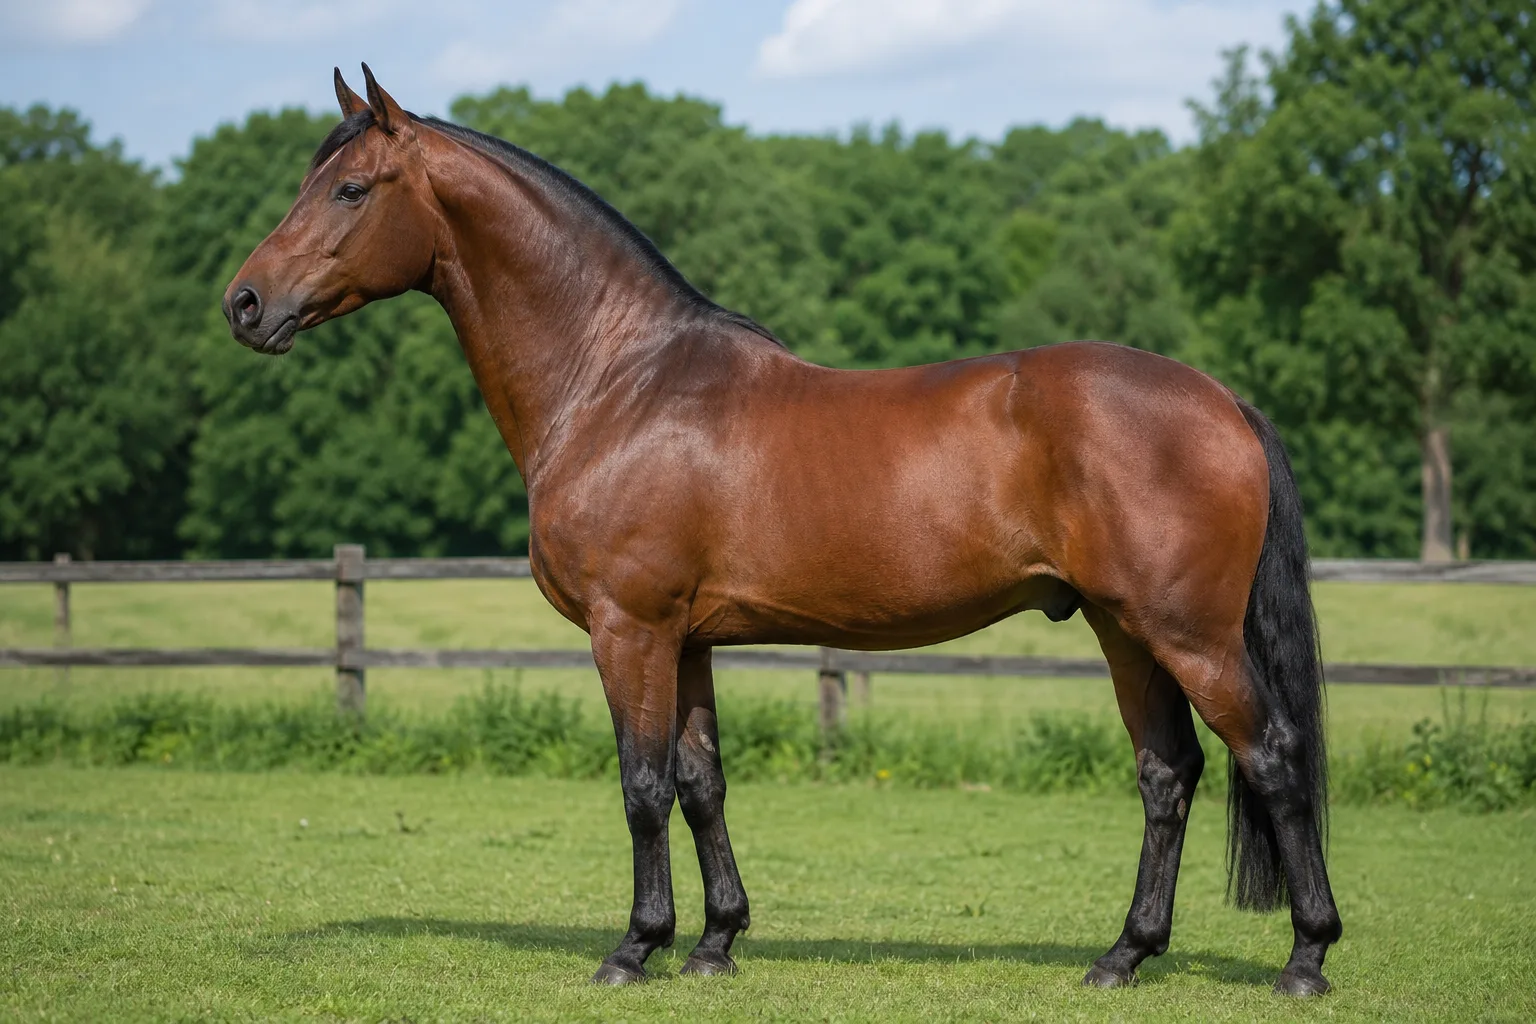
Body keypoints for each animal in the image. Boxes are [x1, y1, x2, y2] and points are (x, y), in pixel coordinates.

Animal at [223, 65, 1341, 996]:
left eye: (351, 189)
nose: (243, 303)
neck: (619, 380)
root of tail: (1223, 401)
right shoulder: (688, 640)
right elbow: (700, 781)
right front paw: (715, 942)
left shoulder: (629, 628)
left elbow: (640, 786)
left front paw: (634, 947)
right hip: (1124, 630)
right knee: (1169, 775)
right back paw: (1122, 956)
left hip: (1188, 634)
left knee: (1272, 758)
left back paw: (1305, 958)